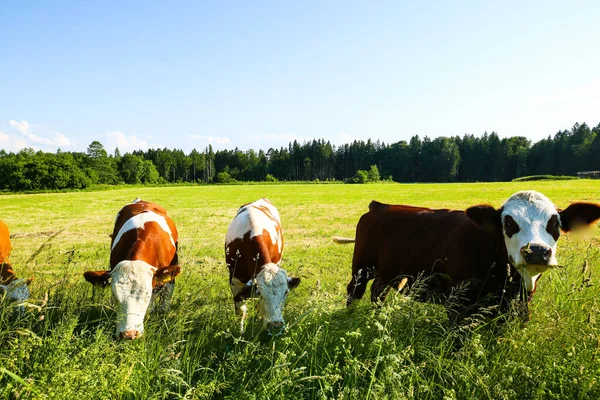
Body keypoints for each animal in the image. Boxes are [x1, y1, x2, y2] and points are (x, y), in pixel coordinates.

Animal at [225, 198, 300, 334]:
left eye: (286, 292)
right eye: (260, 293)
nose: (276, 325)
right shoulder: (234, 280)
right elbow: (241, 310)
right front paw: (240, 332)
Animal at [332, 191, 600, 322]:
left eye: (555, 223)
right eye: (508, 222)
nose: (536, 251)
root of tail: (379, 205)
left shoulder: (521, 303)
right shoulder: (457, 303)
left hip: (387, 272)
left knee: (378, 292)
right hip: (361, 269)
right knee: (355, 292)